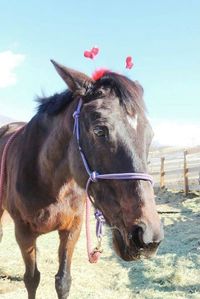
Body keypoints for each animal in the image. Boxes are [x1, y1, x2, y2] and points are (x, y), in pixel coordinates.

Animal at [0, 61, 162, 299]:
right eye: (99, 130)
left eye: (149, 135)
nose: (147, 236)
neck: (48, 181)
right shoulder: (24, 232)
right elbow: (31, 279)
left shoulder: (72, 230)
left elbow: (63, 281)